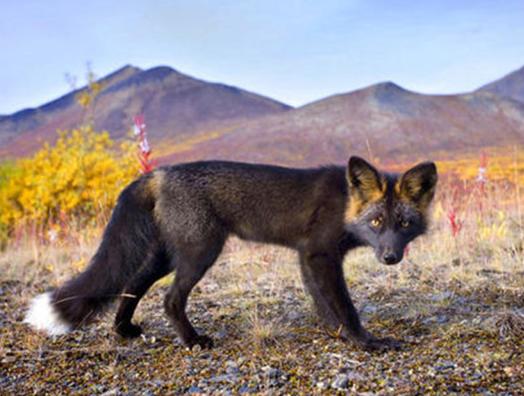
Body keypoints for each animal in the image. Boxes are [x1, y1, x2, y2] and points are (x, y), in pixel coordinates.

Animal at [23, 156, 438, 352]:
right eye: (376, 222)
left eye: (403, 224)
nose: (390, 257)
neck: (345, 205)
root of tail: (160, 173)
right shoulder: (320, 254)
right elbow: (344, 306)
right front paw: (366, 343)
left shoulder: (306, 256)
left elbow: (323, 306)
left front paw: (336, 336)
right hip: (201, 252)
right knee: (170, 299)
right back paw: (193, 341)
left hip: (168, 256)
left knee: (132, 285)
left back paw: (124, 330)